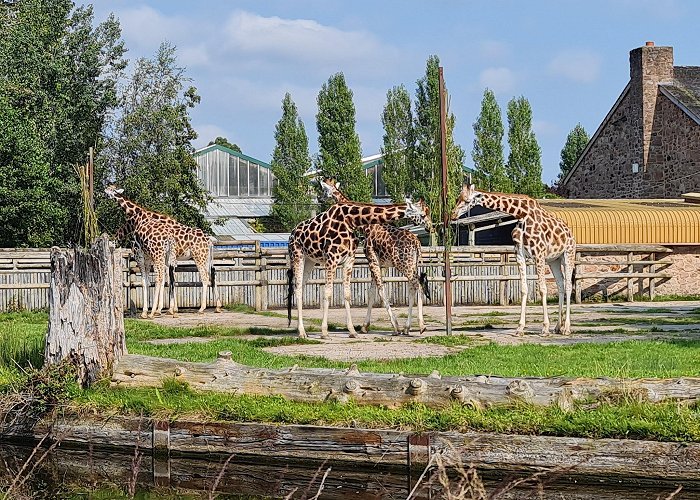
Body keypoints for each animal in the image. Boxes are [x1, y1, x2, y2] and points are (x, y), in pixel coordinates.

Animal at [104, 186, 221, 318]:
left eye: (110, 189)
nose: (105, 190)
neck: (141, 217)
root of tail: (209, 240)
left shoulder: (152, 257)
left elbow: (161, 280)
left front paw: (162, 309)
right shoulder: (166, 259)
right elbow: (169, 280)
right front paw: (169, 309)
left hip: (198, 257)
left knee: (205, 277)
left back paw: (201, 308)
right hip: (206, 257)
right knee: (212, 273)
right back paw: (217, 307)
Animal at [286, 184, 430, 340]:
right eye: (423, 214)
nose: (429, 226)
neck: (356, 222)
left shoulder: (355, 260)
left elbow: (358, 293)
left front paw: (355, 330)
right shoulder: (343, 259)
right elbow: (366, 292)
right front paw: (328, 331)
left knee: (415, 284)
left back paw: (416, 326)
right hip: (299, 256)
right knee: (298, 287)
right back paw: (301, 331)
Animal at [452, 184, 576, 336]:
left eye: (468, 201)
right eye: (458, 198)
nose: (453, 214)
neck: (521, 214)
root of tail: (570, 233)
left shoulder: (539, 254)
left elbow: (542, 289)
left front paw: (545, 328)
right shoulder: (520, 255)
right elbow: (523, 289)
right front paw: (520, 328)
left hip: (568, 254)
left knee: (568, 285)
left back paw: (566, 328)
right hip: (554, 260)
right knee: (561, 285)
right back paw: (558, 326)